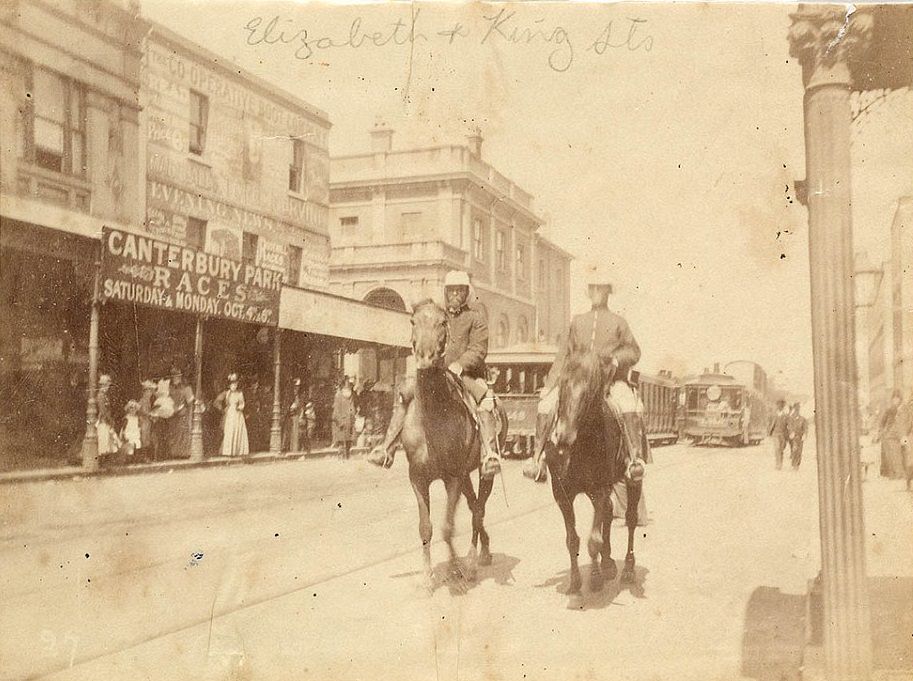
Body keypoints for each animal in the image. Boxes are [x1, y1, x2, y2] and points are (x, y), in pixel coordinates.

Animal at [404, 300, 506, 588]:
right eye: (413, 321)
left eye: (442, 323)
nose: (425, 359)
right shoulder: (418, 479)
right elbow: (425, 528)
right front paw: (427, 577)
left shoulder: (452, 479)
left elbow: (447, 528)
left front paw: (455, 569)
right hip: (466, 477)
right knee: (474, 508)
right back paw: (483, 551)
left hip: (481, 473)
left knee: (478, 510)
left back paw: (472, 563)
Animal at [544, 348, 644, 596]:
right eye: (563, 383)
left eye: (590, 390)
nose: (563, 436)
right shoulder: (563, 495)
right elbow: (573, 540)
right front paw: (575, 582)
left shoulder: (599, 489)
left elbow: (593, 541)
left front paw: (595, 579)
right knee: (608, 513)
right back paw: (608, 563)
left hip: (633, 481)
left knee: (630, 519)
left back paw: (627, 569)